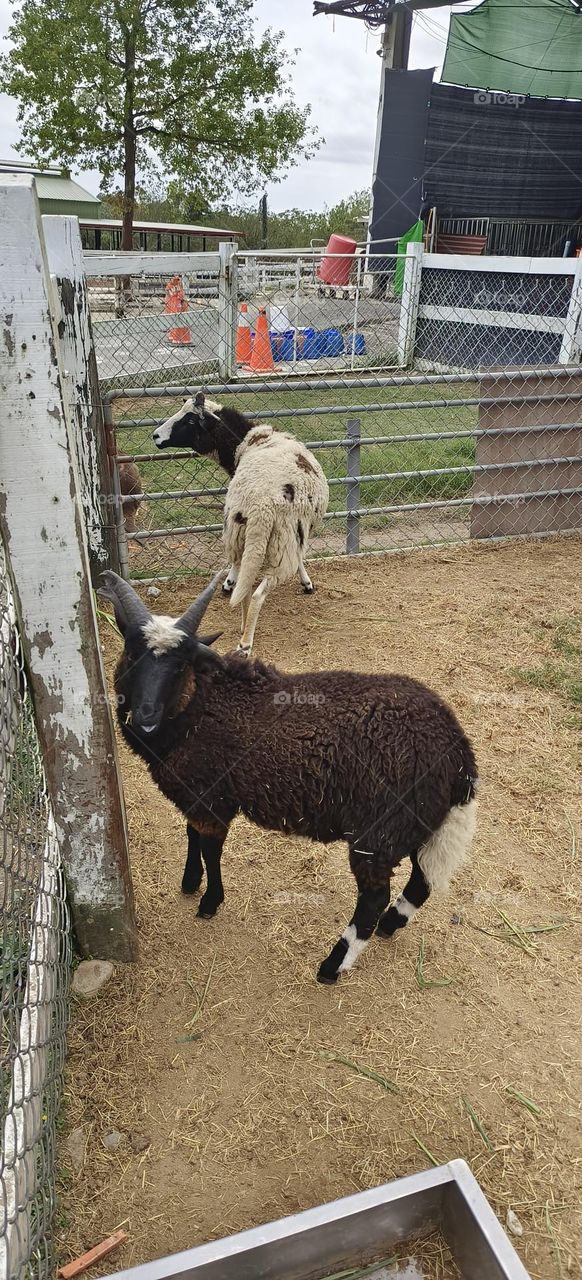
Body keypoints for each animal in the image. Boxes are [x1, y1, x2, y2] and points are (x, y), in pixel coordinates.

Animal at [99, 571, 479, 985]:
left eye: (181, 665)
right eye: (132, 654)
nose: (146, 719)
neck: (201, 706)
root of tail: (458, 751)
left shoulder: (213, 800)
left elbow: (210, 848)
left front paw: (209, 901)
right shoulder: (197, 797)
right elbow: (191, 836)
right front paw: (189, 881)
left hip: (380, 833)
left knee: (374, 898)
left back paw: (332, 965)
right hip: (419, 823)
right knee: (422, 880)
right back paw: (390, 924)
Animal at [152, 393, 329, 653]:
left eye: (190, 420)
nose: (155, 436)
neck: (246, 440)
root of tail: (261, 505)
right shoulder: (298, 532)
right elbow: (299, 558)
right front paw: (306, 582)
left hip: (241, 530)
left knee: (245, 585)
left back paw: (243, 626)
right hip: (278, 537)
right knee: (257, 593)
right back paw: (246, 642)